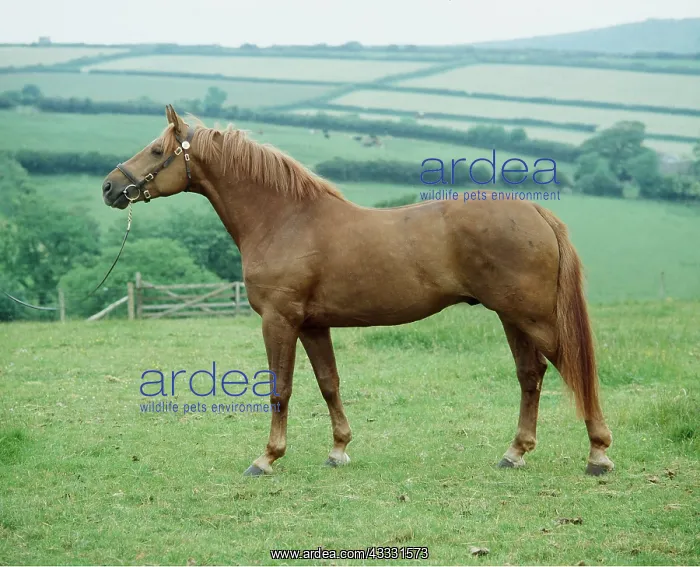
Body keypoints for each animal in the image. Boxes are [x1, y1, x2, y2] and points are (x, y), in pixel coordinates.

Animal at [101, 105, 614, 477]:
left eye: (155, 151)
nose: (109, 187)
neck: (286, 219)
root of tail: (534, 211)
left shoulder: (279, 320)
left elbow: (281, 389)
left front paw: (267, 457)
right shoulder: (312, 325)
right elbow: (329, 383)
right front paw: (338, 450)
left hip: (532, 316)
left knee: (571, 368)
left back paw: (598, 455)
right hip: (512, 317)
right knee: (531, 375)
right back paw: (515, 452)